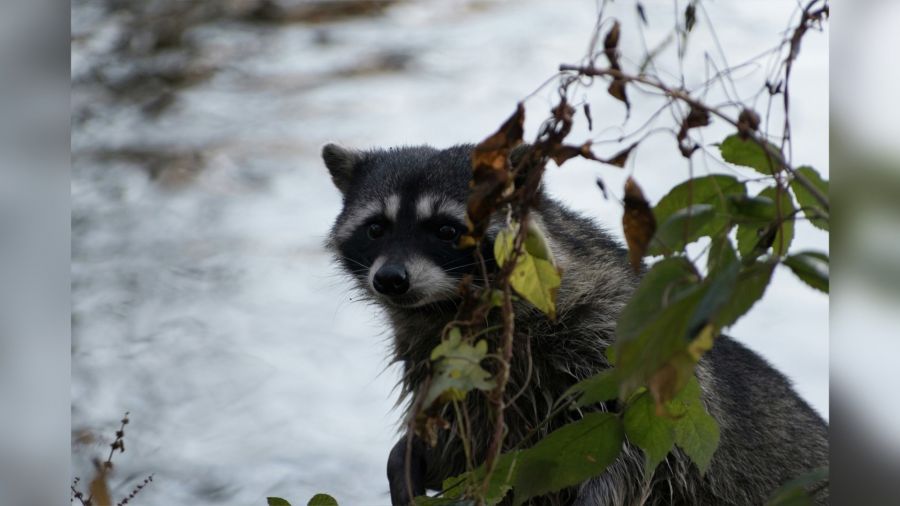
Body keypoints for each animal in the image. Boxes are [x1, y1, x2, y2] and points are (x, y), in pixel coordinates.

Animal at [324, 143, 828, 506]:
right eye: (376, 228)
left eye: (447, 231)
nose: (390, 279)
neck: (452, 310)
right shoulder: (448, 368)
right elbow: (463, 441)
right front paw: (410, 455)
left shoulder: (612, 336)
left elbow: (633, 457)